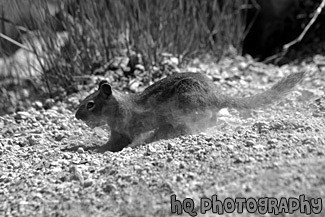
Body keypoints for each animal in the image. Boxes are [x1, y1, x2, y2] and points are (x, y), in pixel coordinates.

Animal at [75, 72, 304, 152]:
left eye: (90, 104)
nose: (76, 116)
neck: (119, 108)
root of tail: (217, 95)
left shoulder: (134, 127)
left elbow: (135, 139)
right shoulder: (117, 134)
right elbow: (110, 144)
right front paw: (94, 148)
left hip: (187, 104)